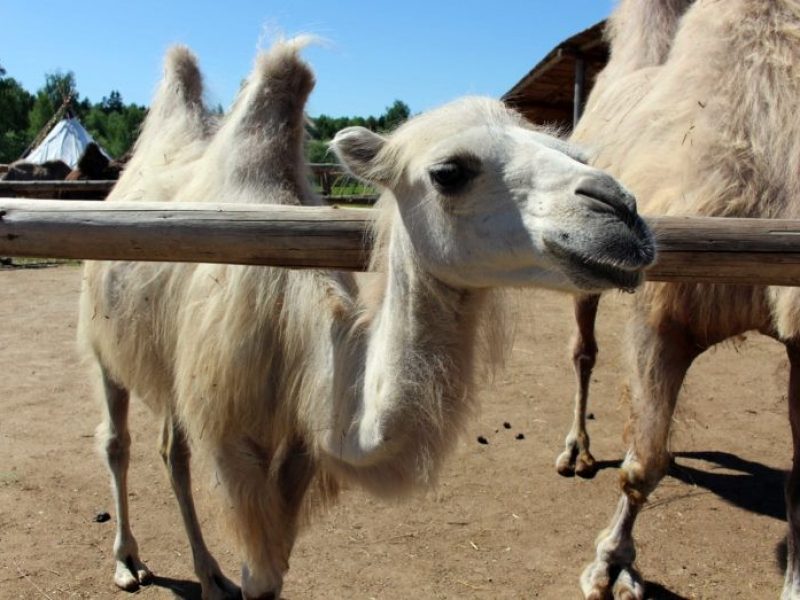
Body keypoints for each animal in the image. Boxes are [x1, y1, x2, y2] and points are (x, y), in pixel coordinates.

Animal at [78, 38, 654, 599]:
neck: (300, 347)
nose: (622, 211)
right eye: (449, 172)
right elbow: (258, 575)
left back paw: (207, 573)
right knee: (117, 442)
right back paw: (129, 561)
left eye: (577, 153)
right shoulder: (231, 442)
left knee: (171, 449)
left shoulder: (301, 451)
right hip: (102, 342)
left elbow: (272, 577)